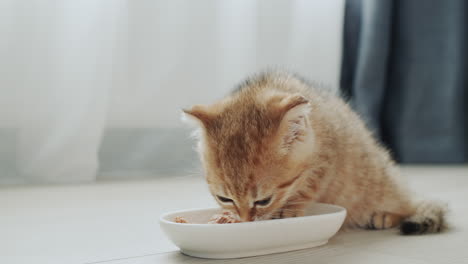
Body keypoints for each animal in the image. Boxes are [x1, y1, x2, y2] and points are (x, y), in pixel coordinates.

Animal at [182, 71, 446, 234]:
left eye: (264, 200)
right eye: (224, 199)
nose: (246, 221)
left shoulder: (329, 160)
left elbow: (310, 186)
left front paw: (290, 209)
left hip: (380, 186)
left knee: (406, 206)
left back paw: (386, 216)